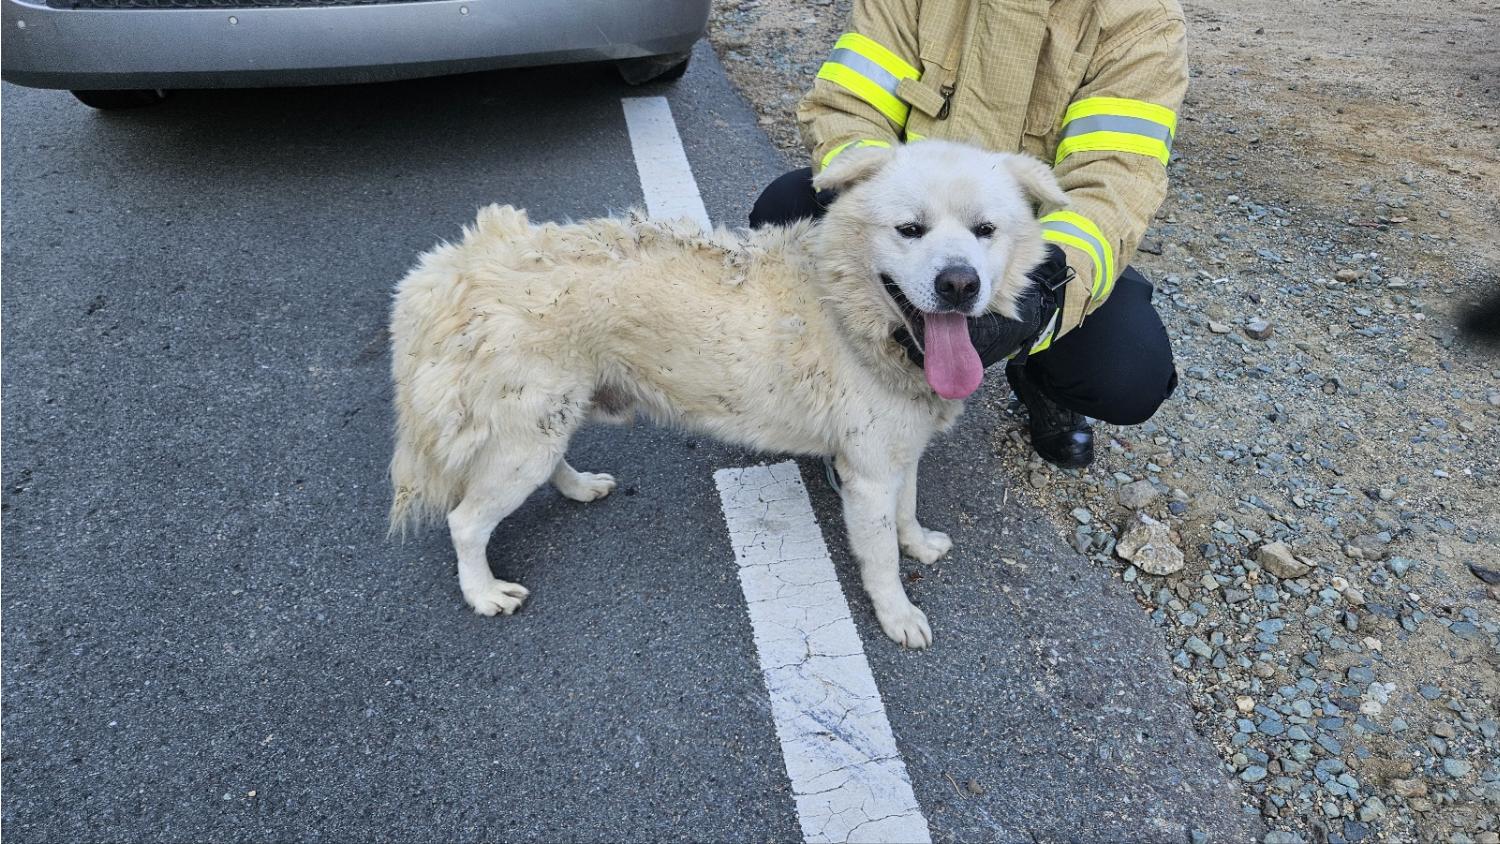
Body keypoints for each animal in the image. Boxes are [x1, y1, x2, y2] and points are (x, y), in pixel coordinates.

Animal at [387, 143, 1068, 647]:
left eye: (985, 230)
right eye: (909, 229)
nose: (959, 283)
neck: (846, 309)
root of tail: (451, 267)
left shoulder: (901, 452)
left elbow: (908, 511)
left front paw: (919, 543)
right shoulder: (869, 475)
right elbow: (880, 562)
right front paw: (898, 615)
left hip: (545, 424)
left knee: (546, 466)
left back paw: (579, 488)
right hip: (522, 440)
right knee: (465, 522)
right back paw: (483, 592)